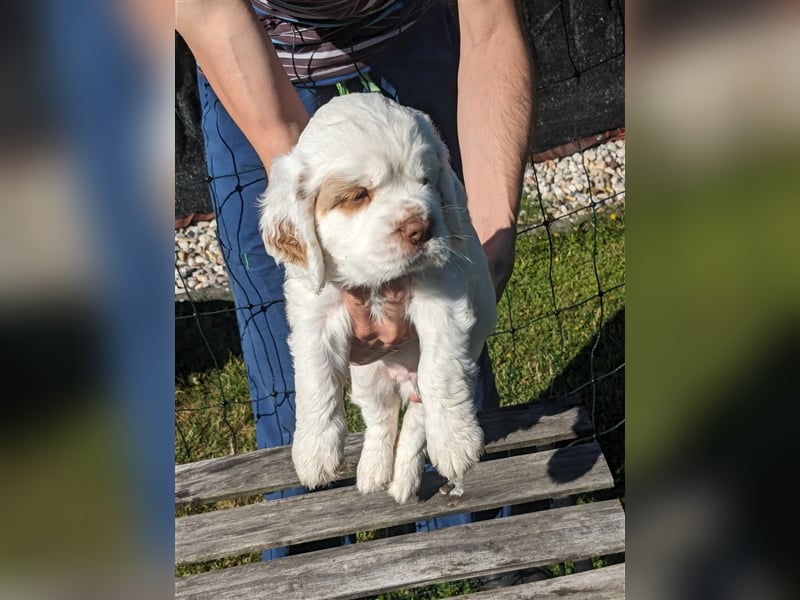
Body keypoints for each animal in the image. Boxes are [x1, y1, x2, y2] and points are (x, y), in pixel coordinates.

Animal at [258, 92, 494, 506]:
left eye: (426, 180)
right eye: (357, 195)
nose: (421, 228)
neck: (376, 282)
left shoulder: (443, 300)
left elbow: (442, 371)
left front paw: (456, 442)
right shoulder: (315, 313)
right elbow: (316, 378)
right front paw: (314, 453)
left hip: (414, 385)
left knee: (416, 420)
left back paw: (403, 481)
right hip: (368, 376)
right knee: (381, 419)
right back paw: (373, 472)